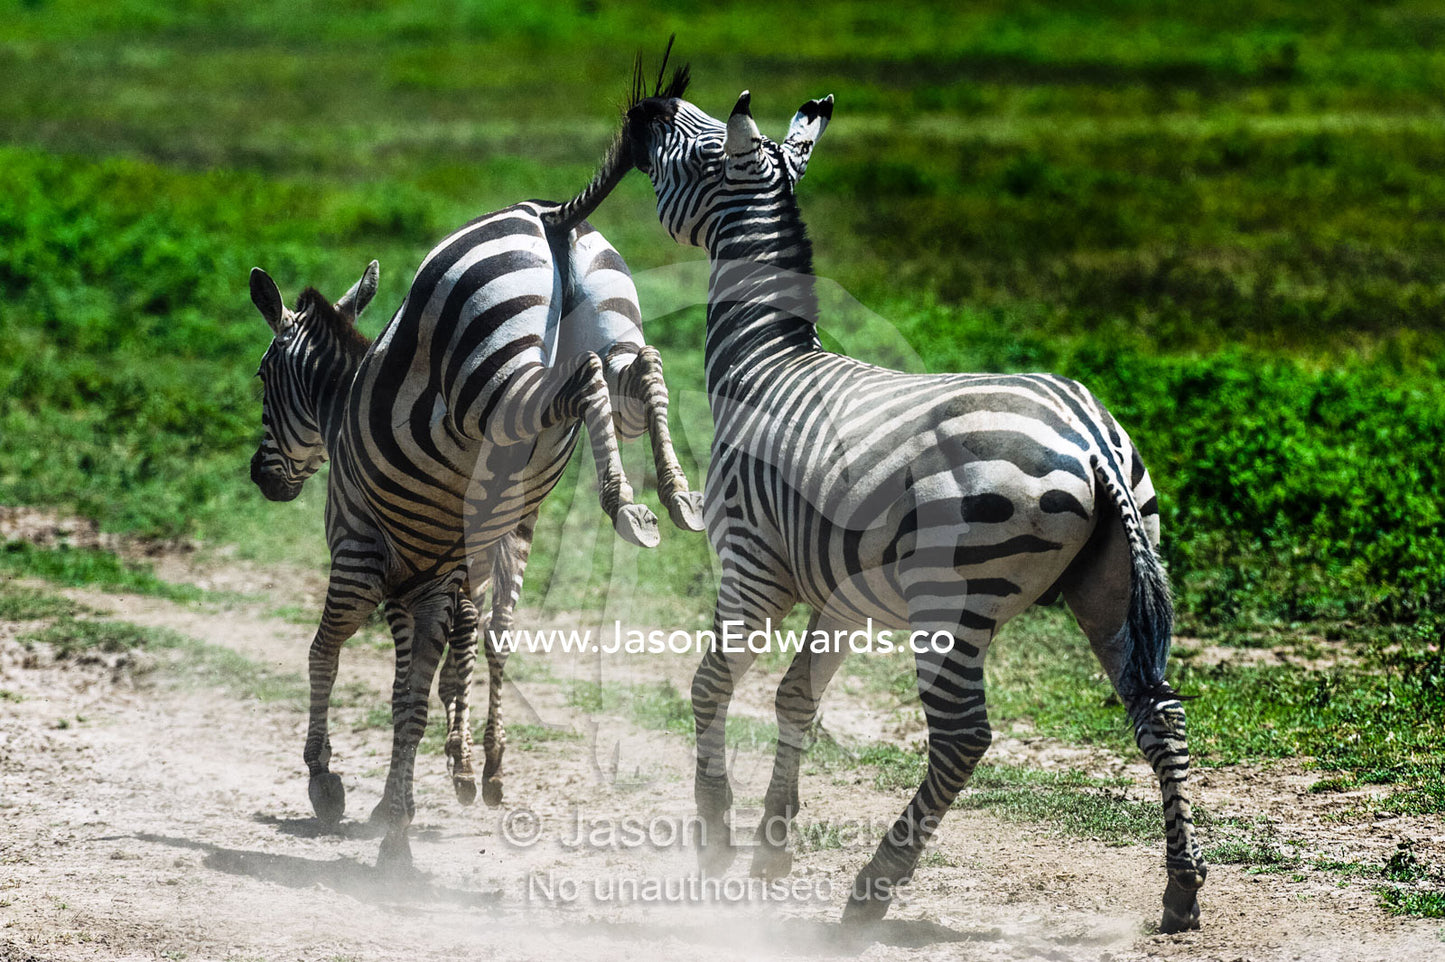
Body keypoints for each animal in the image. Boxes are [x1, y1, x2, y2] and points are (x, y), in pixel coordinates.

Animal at [248, 194, 704, 869]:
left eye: (261, 375)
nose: (261, 477)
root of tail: (551, 214)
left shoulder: (363, 559)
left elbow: (329, 656)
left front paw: (327, 780)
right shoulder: (441, 571)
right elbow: (438, 669)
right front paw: (443, 777)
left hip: (497, 383)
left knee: (584, 378)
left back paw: (625, 501)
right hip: (606, 339)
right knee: (637, 367)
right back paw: (669, 495)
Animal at [617, 81, 1208, 932]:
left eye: (696, 147)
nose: (647, 109)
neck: (761, 365)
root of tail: (1090, 437)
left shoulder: (750, 566)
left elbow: (709, 683)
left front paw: (717, 841)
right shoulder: (840, 596)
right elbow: (796, 696)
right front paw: (768, 848)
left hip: (950, 598)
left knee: (962, 737)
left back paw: (871, 891)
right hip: (1112, 586)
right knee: (1160, 714)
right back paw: (1181, 889)